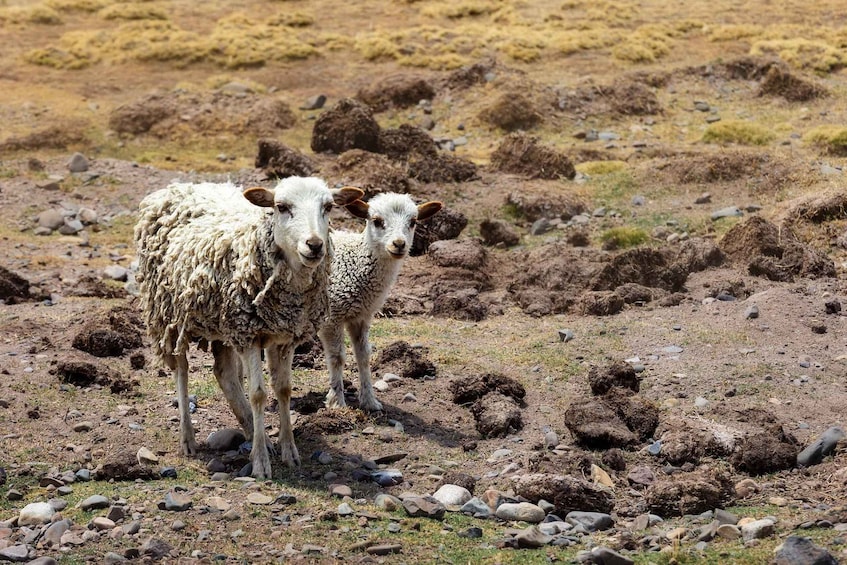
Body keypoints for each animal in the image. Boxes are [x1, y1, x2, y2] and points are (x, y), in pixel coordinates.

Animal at [134, 177, 363, 479]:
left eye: (328, 207)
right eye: (281, 206)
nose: (314, 245)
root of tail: (178, 186)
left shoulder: (284, 337)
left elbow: (283, 389)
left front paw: (288, 450)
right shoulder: (249, 335)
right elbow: (258, 394)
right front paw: (261, 463)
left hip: (224, 324)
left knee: (225, 374)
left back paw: (253, 432)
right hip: (170, 317)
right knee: (181, 371)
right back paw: (188, 438)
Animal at [321, 192, 442, 411]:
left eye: (413, 222)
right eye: (376, 221)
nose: (399, 244)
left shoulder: (361, 316)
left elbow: (364, 356)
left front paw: (369, 400)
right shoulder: (331, 317)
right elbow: (337, 358)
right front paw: (337, 402)